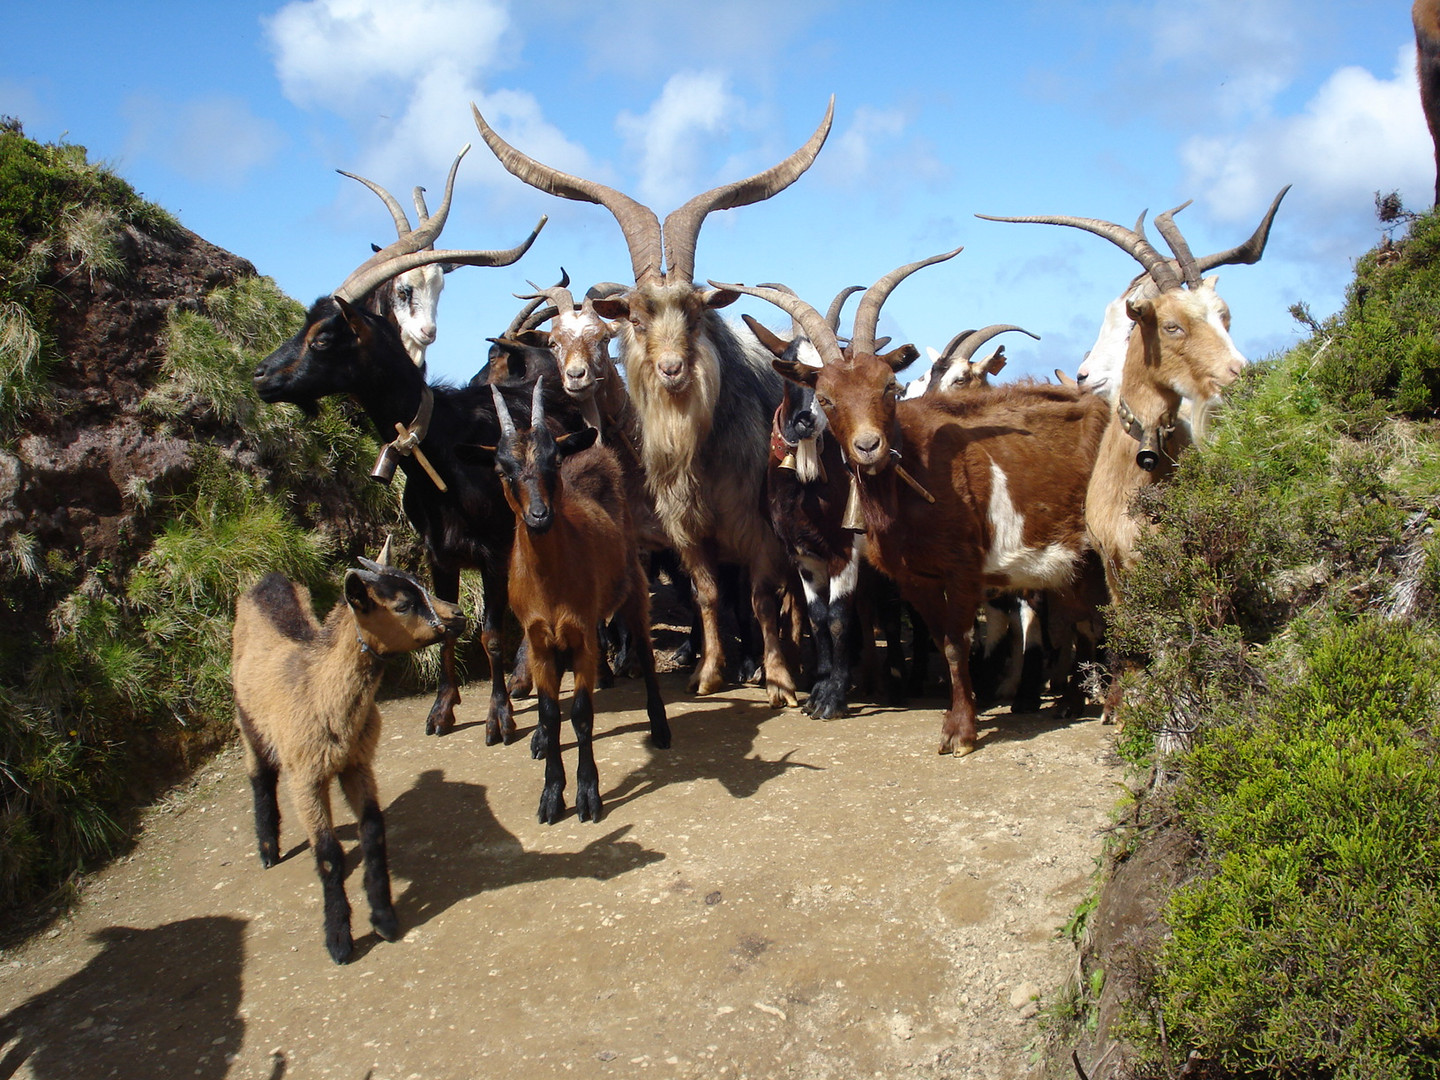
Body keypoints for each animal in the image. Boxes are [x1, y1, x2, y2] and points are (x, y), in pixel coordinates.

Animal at [231, 544, 460, 967]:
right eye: (403, 604)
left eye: (419, 583)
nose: (458, 615)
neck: (319, 691)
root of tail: (268, 579)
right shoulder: (305, 776)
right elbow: (327, 854)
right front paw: (338, 939)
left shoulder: (358, 762)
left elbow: (373, 832)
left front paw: (384, 918)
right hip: (246, 717)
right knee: (260, 775)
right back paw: (268, 849)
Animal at [472, 99, 840, 711]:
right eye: (638, 319)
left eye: (694, 313)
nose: (671, 369)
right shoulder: (688, 533)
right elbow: (708, 595)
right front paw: (710, 674)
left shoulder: (756, 529)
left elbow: (761, 597)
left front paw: (779, 681)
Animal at [478, 385, 668, 823]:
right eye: (502, 469)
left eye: (552, 460)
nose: (539, 515)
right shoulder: (539, 639)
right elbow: (550, 713)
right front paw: (551, 793)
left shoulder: (580, 634)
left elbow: (581, 713)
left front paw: (587, 793)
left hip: (634, 584)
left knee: (646, 653)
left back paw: (660, 725)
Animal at [720, 254, 1111, 754]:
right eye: (810, 383)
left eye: (890, 386)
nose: (811, 421)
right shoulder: (809, 555)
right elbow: (820, 617)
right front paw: (820, 688)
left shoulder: (855, 553)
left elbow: (842, 618)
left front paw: (835, 699)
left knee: (1050, 615)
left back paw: (1030, 694)